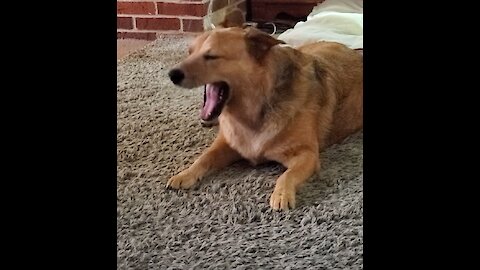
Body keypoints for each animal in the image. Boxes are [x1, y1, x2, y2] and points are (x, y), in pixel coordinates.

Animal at [167, 26, 362, 210]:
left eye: (211, 56)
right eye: (190, 52)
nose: (172, 74)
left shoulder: (307, 155)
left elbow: (286, 176)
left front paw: (282, 194)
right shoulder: (226, 144)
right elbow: (204, 157)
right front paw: (185, 173)